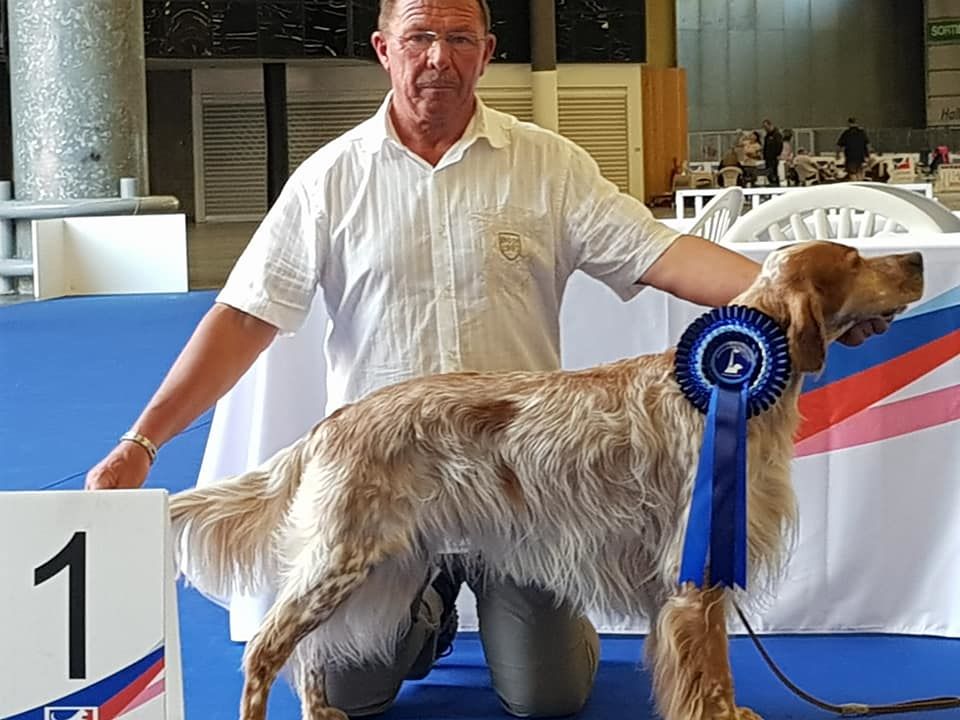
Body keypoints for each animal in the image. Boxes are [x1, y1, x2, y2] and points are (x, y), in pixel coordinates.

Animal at [171, 242, 924, 720]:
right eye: (854, 259)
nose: (916, 260)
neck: (732, 381)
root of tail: (330, 424)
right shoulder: (694, 574)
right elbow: (710, 672)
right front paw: (725, 715)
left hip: (372, 566)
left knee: (308, 651)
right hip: (342, 557)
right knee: (267, 648)